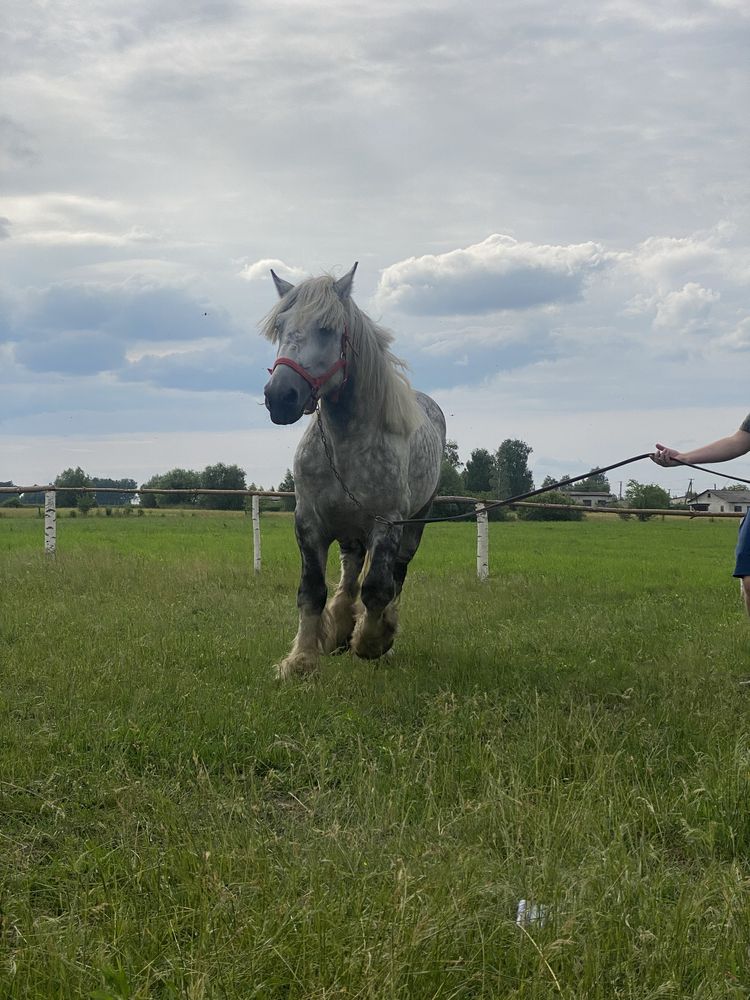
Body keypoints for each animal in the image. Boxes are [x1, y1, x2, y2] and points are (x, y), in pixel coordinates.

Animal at [262, 262, 446, 680]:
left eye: (327, 328)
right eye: (280, 325)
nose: (280, 397)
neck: (347, 442)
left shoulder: (387, 522)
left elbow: (377, 588)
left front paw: (372, 642)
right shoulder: (309, 522)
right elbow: (312, 591)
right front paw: (301, 660)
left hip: (413, 525)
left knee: (395, 578)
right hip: (350, 530)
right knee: (348, 575)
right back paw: (340, 629)